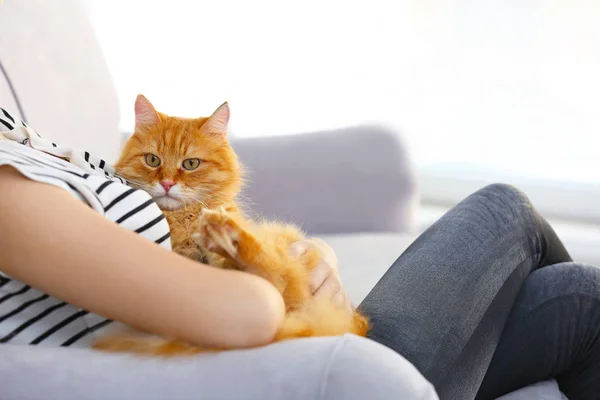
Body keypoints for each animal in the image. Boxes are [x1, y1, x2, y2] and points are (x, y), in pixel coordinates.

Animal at [94, 95, 368, 354]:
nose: (167, 184)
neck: (182, 220)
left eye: (190, 164)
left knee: (279, 275)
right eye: (152, 160)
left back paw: (224, 234)